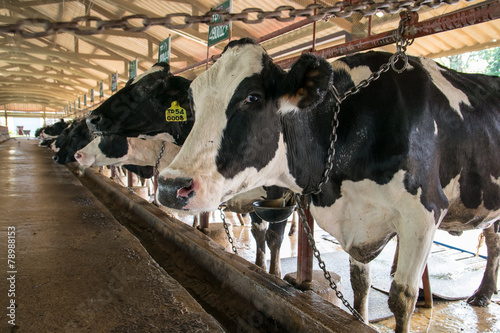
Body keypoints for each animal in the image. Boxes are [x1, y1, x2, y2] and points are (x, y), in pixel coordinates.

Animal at [158, 38, 500, 330]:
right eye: (193, 103)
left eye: (252, 97)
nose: (170, 186)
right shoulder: (358, 218)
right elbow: (359, 284)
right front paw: (361, 321)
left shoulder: (424, 212)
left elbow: (402, 299)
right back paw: (484, 293)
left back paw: (483, 294)